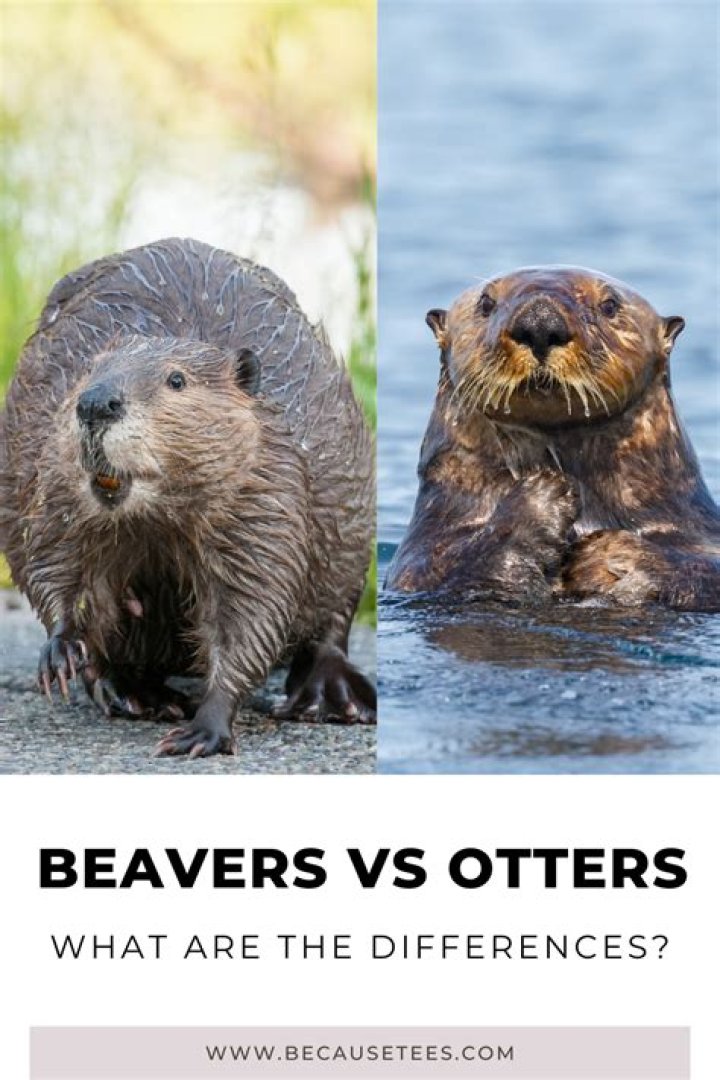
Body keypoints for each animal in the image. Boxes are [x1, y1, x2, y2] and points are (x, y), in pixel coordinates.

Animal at [0, 237, 375, 756]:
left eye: (176, 380)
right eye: (88, 369)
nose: (96, 403)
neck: (154, 516)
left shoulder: (265, 497)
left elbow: (253, 610)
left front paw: (203, 730)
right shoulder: (51, 474)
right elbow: (52, 559)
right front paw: (62, 650)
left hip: (350, 538)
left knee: (330, 626)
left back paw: (335, 699)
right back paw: (137, 694)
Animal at [386, 266, 720, 612]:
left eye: (610, 305)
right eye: (486, 303)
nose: (540, 323)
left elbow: (705, 571)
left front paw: (612, 555)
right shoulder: (420, 557)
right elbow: (452, 573)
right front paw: (544, 493)